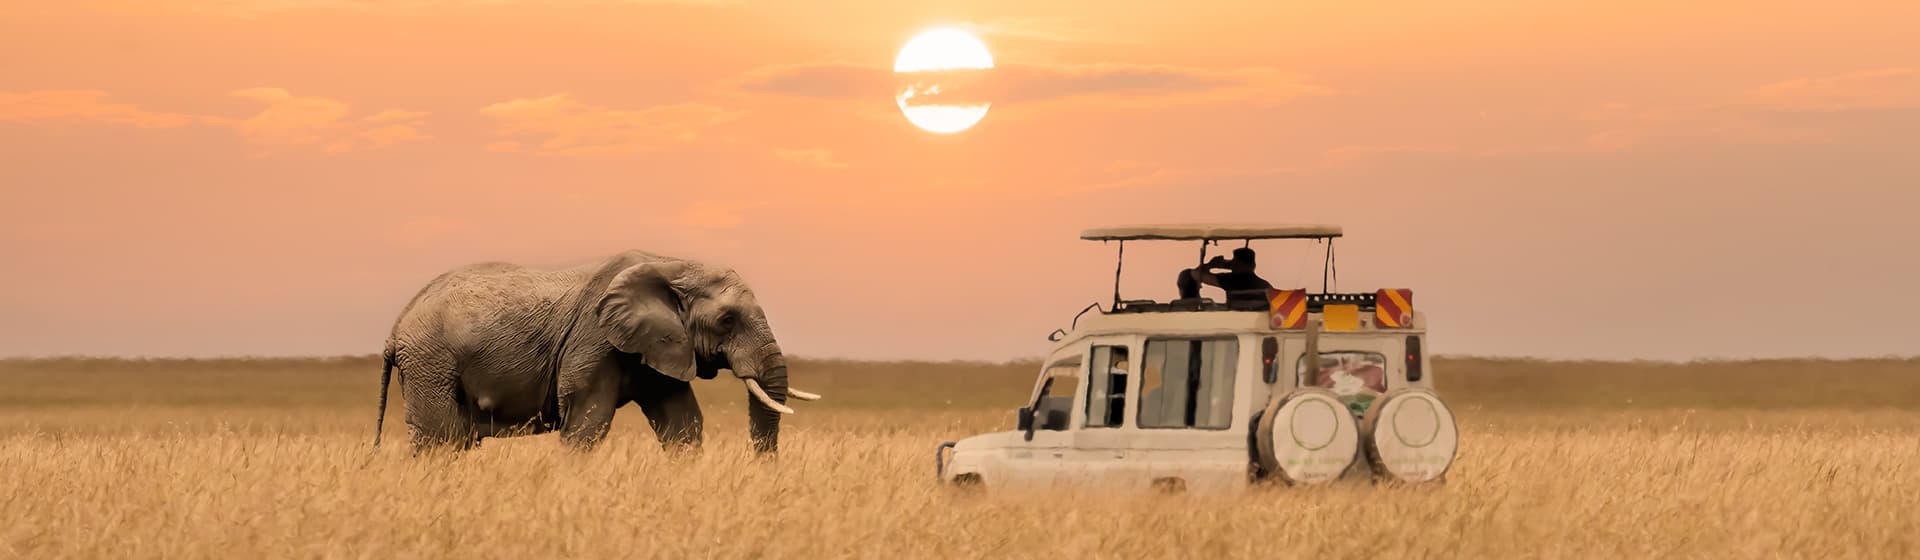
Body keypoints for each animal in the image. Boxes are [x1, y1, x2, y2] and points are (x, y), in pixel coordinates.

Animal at [371, 250, 819, 454]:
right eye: (727, 320)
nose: (763, 470)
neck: (671, 265)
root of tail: (397, 325)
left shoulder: (661, 346)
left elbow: (683, 423)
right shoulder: (593, 341)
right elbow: (588, 422)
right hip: (431, 362)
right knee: (440, 440)